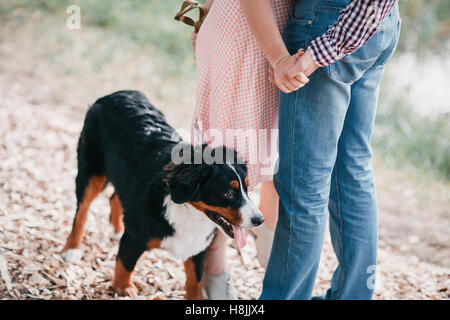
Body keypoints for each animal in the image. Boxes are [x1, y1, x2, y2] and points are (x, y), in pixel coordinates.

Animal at [59, 90, 264, 300]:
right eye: (228, 193)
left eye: (247, 188)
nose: (259, 220)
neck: (190, 212)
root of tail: (117, 93)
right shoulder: (135, 236)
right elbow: (125, 264)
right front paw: (123, 288)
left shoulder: (198, 247)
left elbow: (195, 280)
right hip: (91, 172)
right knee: (82, 211)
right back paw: (72, 249)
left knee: (115, 198)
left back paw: (116, 230)